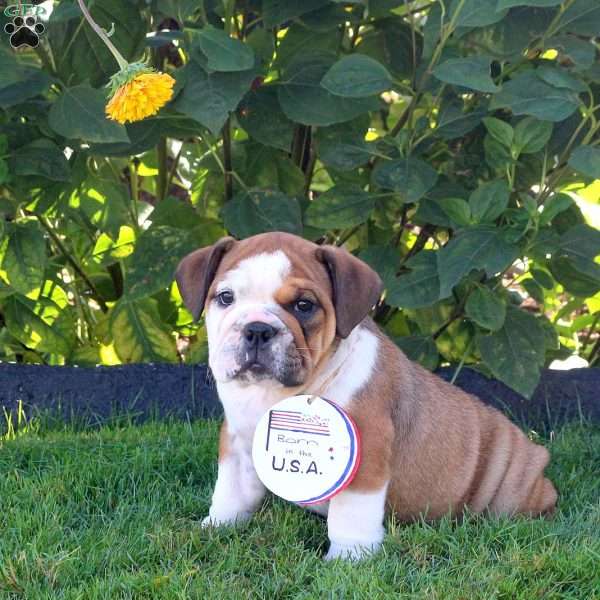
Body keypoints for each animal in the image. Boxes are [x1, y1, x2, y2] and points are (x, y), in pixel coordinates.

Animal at [175, 232, 556, 560]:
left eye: (303, 305)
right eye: (226, 298)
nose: (257, 328)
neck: (280, 392)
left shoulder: (366, 449)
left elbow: (351, 512)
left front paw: (349, 557)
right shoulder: (237, 441)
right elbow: (232, 491)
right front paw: (216, 526)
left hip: (513, 486)